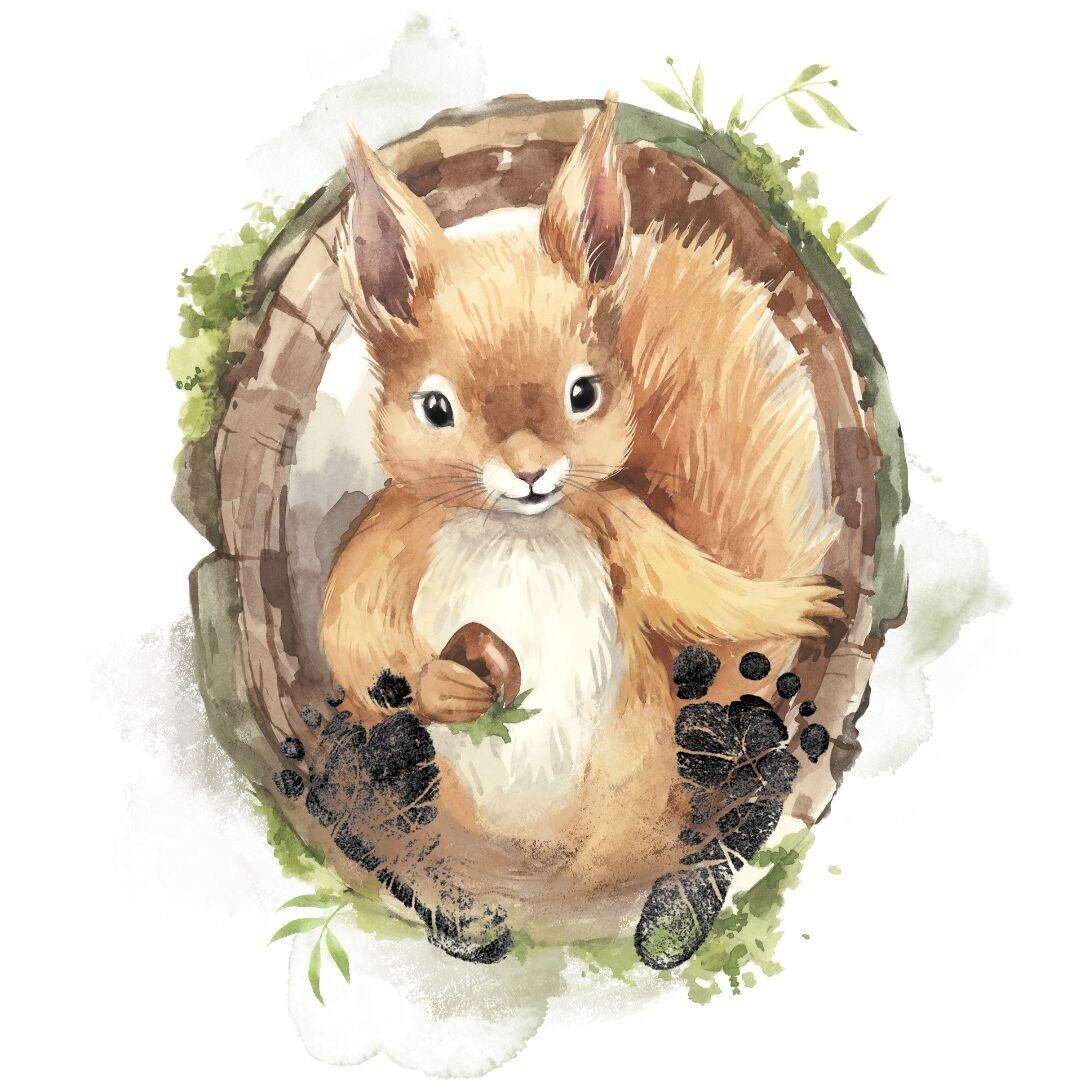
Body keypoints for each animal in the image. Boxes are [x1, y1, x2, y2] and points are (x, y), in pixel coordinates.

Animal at [319, 97, 841, 909]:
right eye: (434, 408)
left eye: (585, 393)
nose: (533, 473)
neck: (516, 530)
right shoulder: (391, 538)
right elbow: (355, 633)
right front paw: (443, 683)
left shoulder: (619, 524)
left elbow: (697, 589)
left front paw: (800, 603)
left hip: (628, 776)